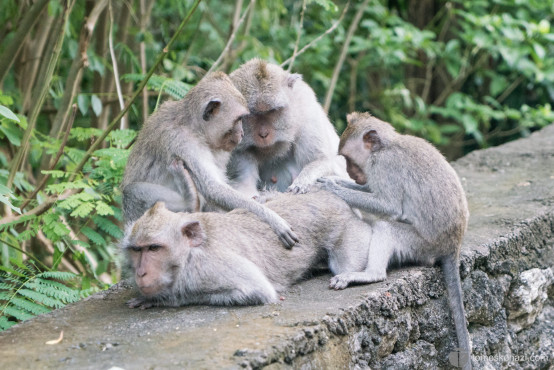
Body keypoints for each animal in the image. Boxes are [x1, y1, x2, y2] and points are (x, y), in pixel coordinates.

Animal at [121, 71, 298, 247]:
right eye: (239, 119)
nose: (241, 133)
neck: (195, 128)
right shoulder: (183, 141)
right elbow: (212, 188)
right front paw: (272, 218)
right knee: (130, 192)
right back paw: (189, 202)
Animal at [121, 191, 370, 310]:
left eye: (154, 248)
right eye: (137, 250)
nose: (141, 272)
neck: (189, 256)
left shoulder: (210, 266)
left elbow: (256, 290)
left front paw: (161, 299)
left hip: (346, 227)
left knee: (345, 265)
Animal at [225, 58, 344, 197]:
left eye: (272, 111)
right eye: (251, 114)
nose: (264, 134)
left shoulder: (308, 114)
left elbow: (322, 161)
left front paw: (302, 181)